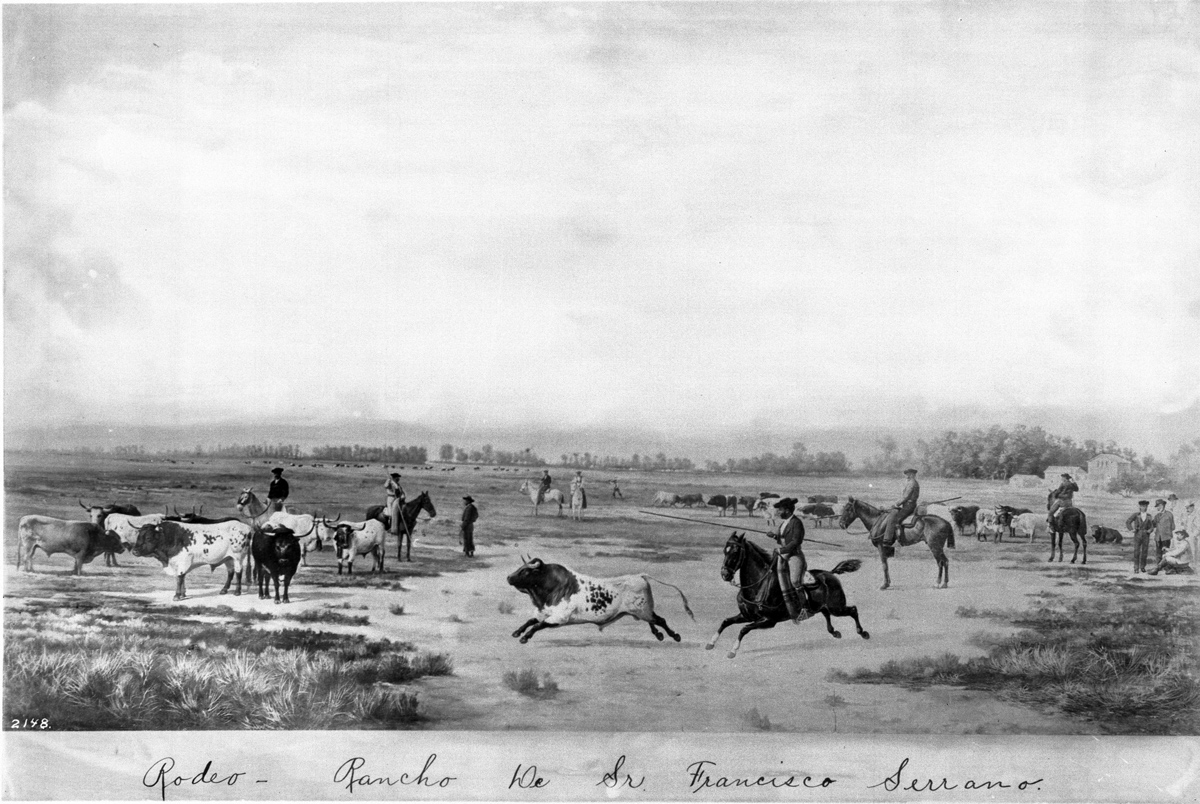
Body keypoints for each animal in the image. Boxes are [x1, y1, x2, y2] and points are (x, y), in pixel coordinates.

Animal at [504, 556, 696, 648]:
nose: (508, 577)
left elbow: (537, 625)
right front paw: (517, 632)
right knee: (654, 620)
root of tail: (640, 576)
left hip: (643, 610)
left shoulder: (559, 618)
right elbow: (531, 620)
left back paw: (675, 636)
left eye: (525, 572)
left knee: (660, 620)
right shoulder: (545, 612)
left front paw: (525, 637)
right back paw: (659, 635)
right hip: (641, 611)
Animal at [705, 535, 868, 662]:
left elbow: (744, 629)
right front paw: (711, 643)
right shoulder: (746, 615)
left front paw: (732, 651)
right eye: (724, 551)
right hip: (823, 607)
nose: (725, 574)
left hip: (837, 608)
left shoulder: (769, 621)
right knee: (827, 614)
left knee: (853, 610)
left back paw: (863, 633)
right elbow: (726, 621)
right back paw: (834, 632)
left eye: (735, 551)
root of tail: (830, 573)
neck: (759, 585)